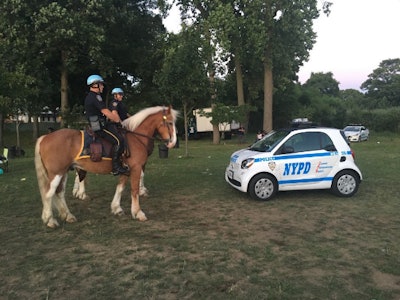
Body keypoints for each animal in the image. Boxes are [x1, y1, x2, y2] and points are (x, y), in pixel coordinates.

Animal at [34, 105, 178, 227]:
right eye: (170, 122)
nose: (173, 143)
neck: (135, 138)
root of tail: (45, 137)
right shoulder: (136, 168)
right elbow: (134, 190)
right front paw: (138, 212)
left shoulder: (125, 170)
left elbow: (120, 188)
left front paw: (116, 208)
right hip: (56, 173)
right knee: (48, 193)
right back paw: (50, 220)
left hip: (63, 172)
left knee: (59, 192)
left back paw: (68, 215)